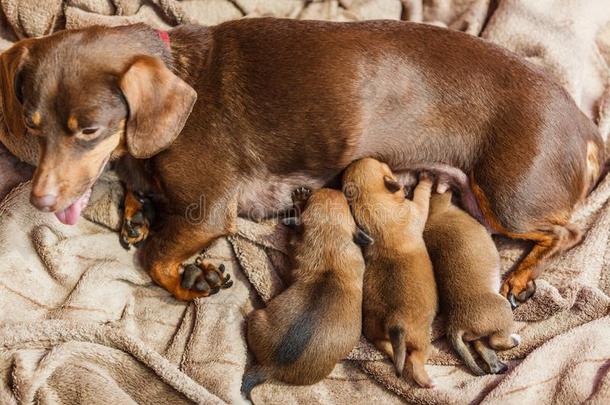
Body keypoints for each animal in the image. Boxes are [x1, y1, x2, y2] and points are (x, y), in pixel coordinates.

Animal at [342, 158, 436, 388]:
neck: (372, 207)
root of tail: (395, 322)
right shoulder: (416, 209)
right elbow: (422, 195)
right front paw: (425, 179)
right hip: (420, 337)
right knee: (416, 358)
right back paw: (425, 380)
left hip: (375, 333)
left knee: (388, 349)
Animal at [422, 191, 516, 374]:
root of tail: (454, 325)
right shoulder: (439, 201)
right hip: (503, 308)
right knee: (496, 341)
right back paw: (513, 341)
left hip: (477, 336)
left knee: (484, 347)